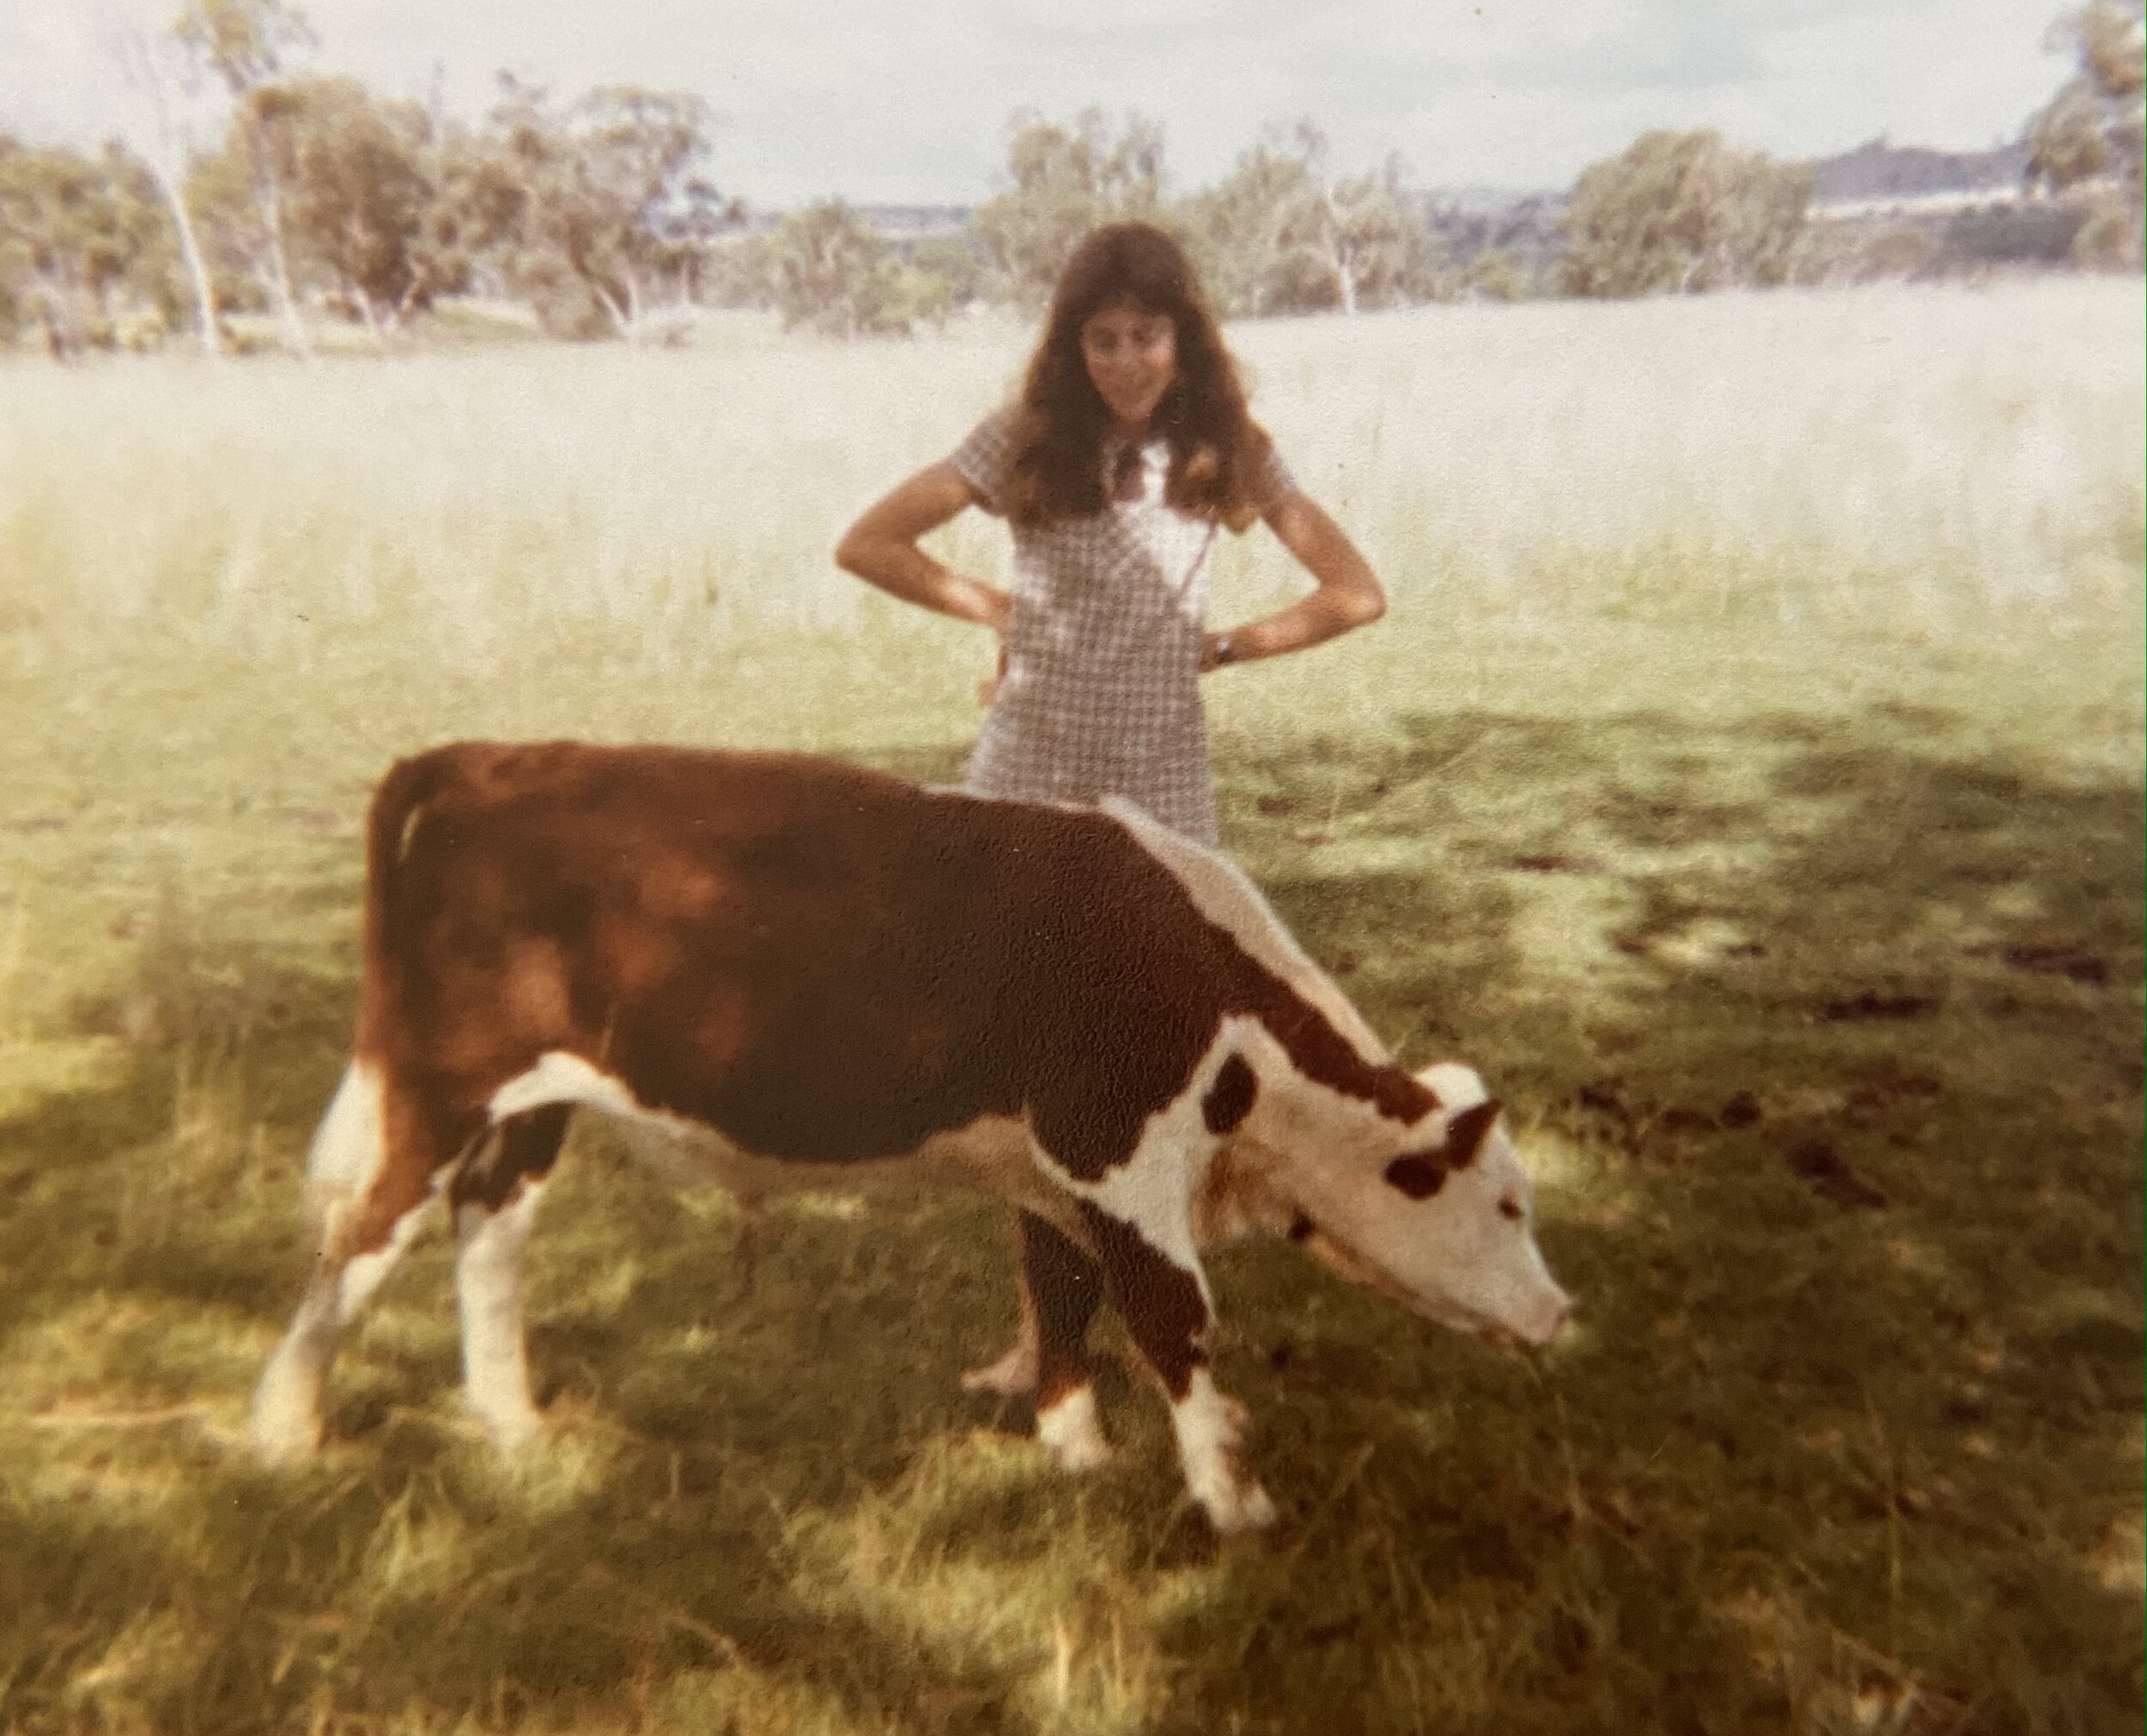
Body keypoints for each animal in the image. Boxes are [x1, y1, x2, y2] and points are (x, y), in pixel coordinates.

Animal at [251, 737, 1572, 1527]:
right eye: (1505, 1202)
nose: (1561, 1313)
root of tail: (484, 757)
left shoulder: (1051, 1170)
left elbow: (1062, 1291)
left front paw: (1074, 1446)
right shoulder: (1118, 1154)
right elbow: (1171, 1316)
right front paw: (1228, 1502)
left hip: (531, 1109)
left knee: (492, 1233)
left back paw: (511, 1419)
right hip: (440, 1086)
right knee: (363, 1234)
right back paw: (284, 1425)